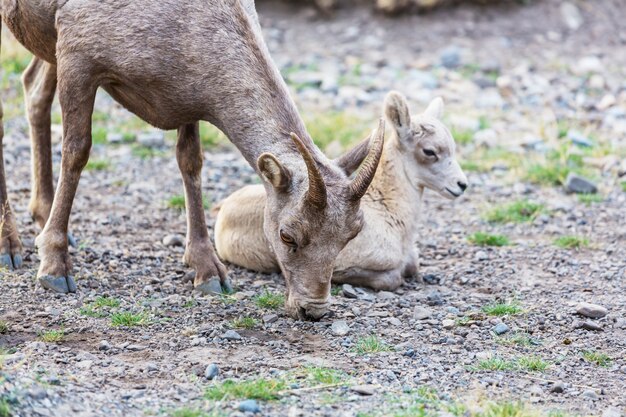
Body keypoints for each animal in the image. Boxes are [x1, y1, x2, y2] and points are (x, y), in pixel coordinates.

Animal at [0, 0, 382, 320]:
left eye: (350, 236)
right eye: (287, 235)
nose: (312, 310)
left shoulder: (186, 103)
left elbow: (191, 163)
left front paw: (208, 272)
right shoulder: (78, 58)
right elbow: (77, 152)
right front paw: (54, 268)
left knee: (33, 89)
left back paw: (42, 216)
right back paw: (10, 247)